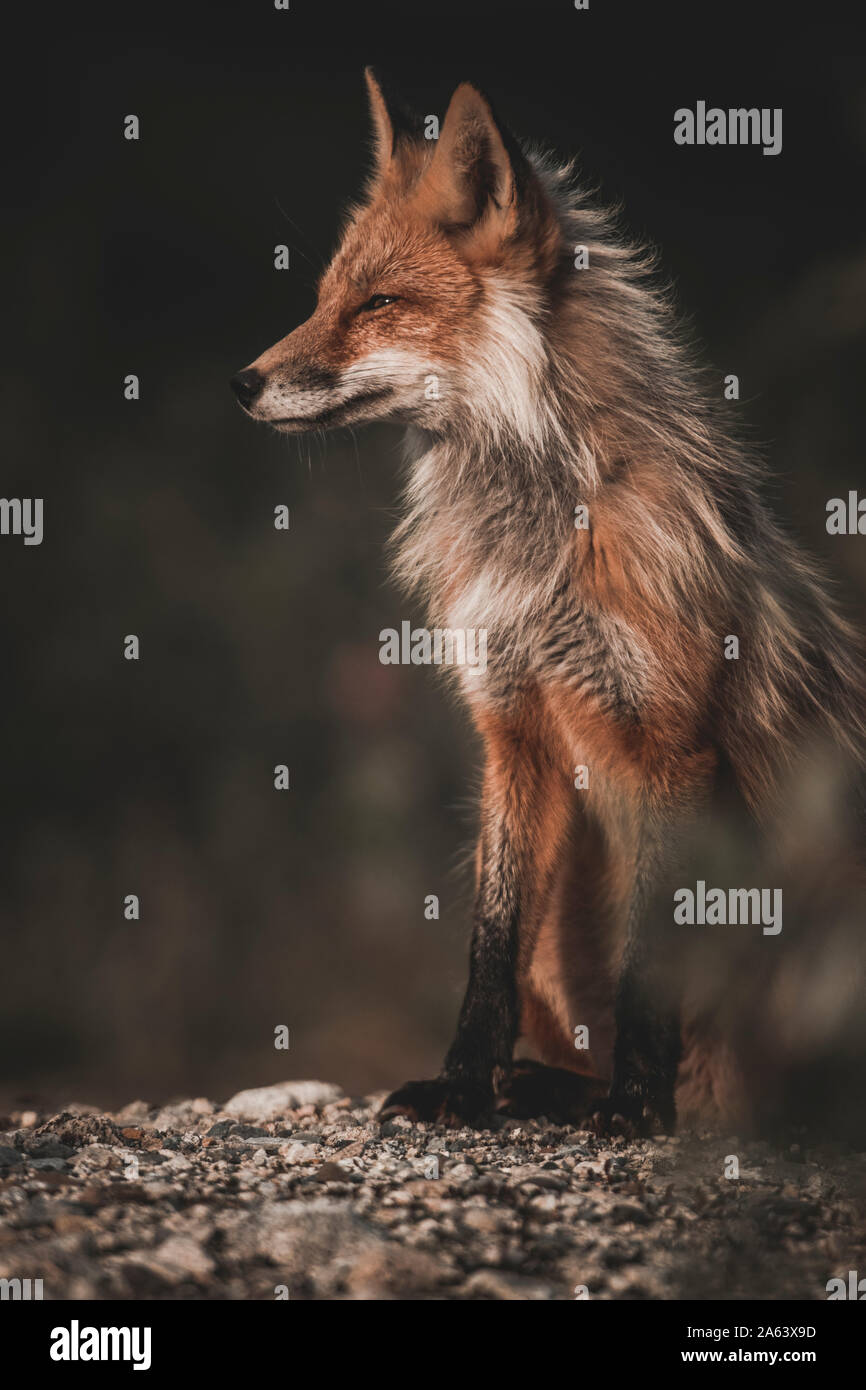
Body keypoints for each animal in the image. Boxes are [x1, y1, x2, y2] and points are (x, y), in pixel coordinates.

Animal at [233, 70, 866, 1134]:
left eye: (380, 303)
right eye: (325, 299)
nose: (243, 385)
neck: (539, 546)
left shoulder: (670, 748)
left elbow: (655, 969)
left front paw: (636, 1107)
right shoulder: (513, 730)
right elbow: (488, 954)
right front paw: (460, 1085)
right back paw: (546, 1087)